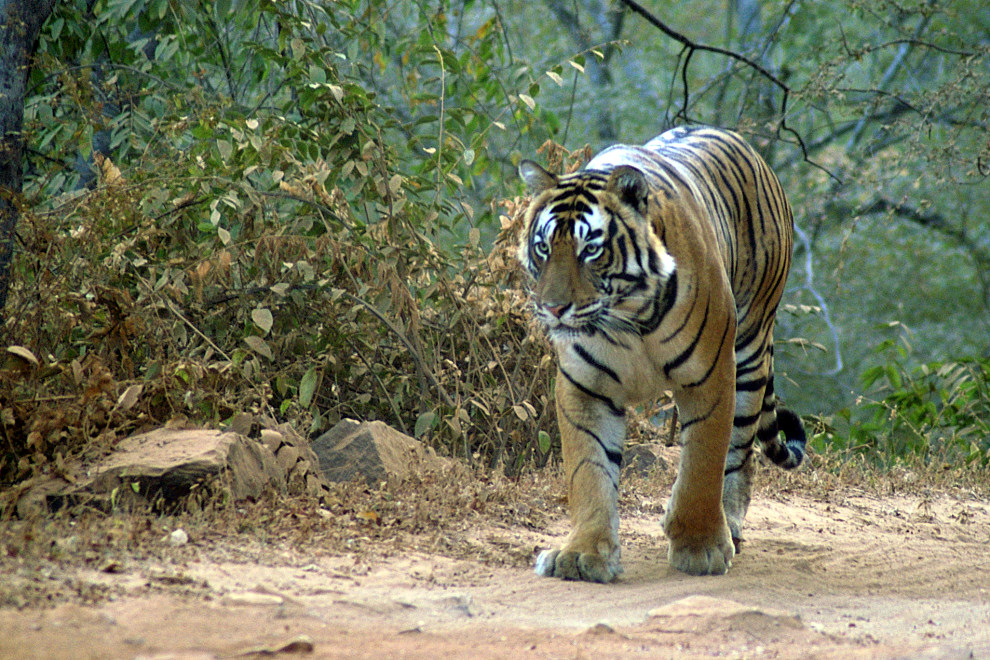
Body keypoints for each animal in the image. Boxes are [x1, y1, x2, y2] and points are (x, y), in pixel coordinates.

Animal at [520, 126, 808, 580]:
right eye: (543, 248)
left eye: (590, 250)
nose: (552, 308)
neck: (626, 318)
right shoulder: (585, 389)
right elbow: (589, 471)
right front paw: (583, 555)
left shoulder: (710, 376)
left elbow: (702, 465)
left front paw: (700, 548)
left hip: (751, 351)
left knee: (739, 455)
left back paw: (730, 526)